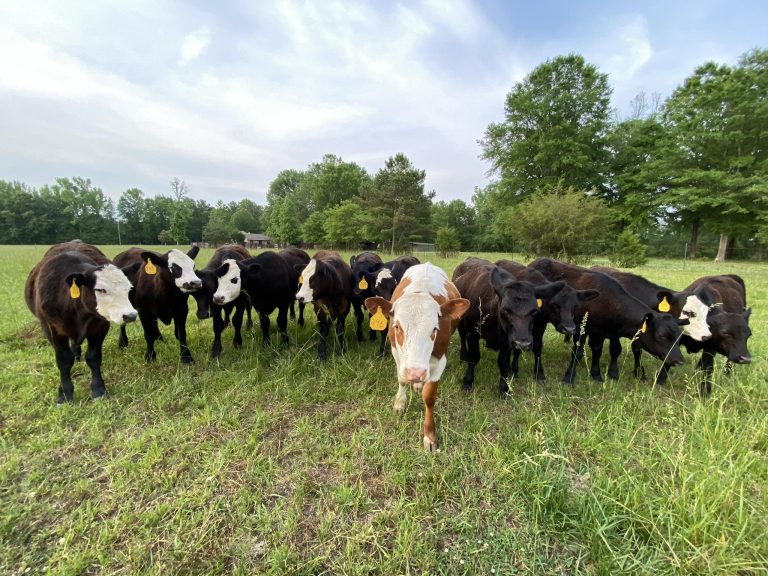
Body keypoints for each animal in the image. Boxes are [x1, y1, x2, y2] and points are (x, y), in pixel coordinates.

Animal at [25, 241, 139, 402]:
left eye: (129, 287)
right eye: (100, 289)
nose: (130, 315)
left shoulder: (100, 326)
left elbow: (93, 357)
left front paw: (98, 389)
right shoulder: (53, 328)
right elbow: (64, 360)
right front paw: (65, 393)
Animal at [364, 264, 468, 452]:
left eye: (435, 329)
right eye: (397, 326)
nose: (415, 373)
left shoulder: (440, 360)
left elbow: (429, 397)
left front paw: (430, 435)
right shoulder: (395, 352)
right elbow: (401, 379)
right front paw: (400, 403)